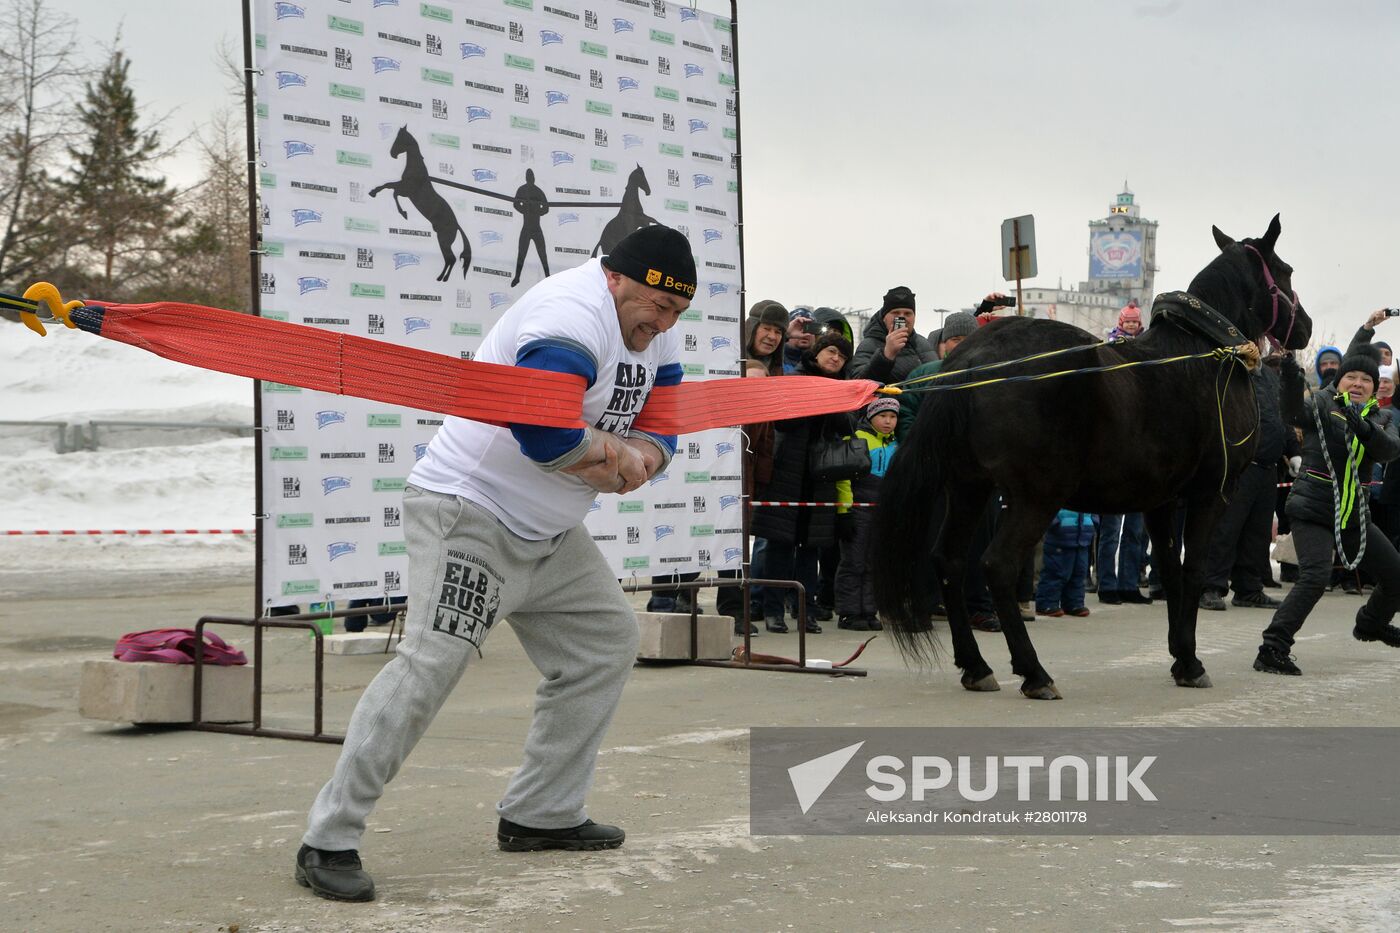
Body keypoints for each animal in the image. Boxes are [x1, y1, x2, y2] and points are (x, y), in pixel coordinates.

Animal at [873, 215, 1310, 697]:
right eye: (1286, 272)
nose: (1305, 328)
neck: (1203, 354)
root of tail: (973, 359)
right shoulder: (1212, 493)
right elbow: (1193, 570)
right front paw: (1192, 662)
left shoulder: (1160, 502)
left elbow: (1171, 571)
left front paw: (1180, 655)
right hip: (1035, 497)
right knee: (998, 565)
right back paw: (1034, 672)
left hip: (969, 488)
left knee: (949, 560)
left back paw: (976, 666)